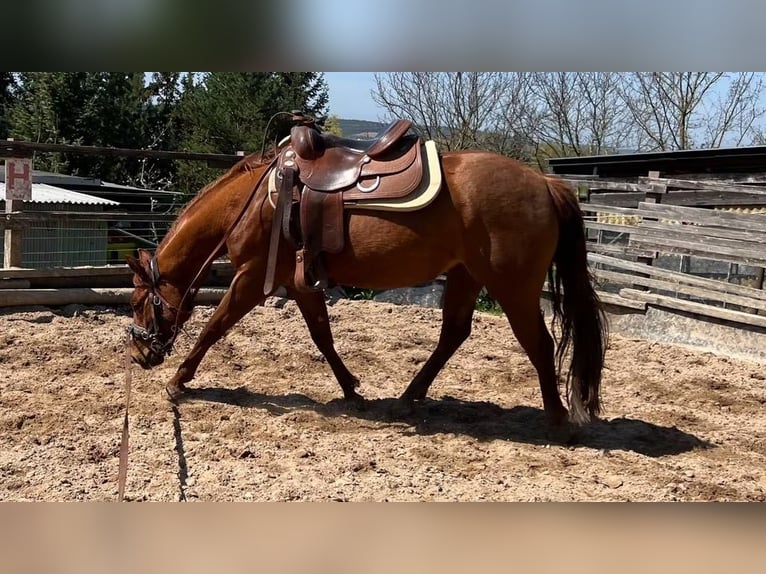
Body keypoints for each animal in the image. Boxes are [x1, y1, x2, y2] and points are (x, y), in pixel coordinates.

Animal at [125, 141, 607, 432]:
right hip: (466, 275)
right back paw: (408, 398)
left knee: (538, 343)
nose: (138, 354)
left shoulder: (252, 280)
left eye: (136, 302)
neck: (255, 201)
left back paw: (556, 420)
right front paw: (352, 391)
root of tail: (544, 183)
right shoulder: (299, 285)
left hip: (512, 287)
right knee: (453, 334)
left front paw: (179, 381)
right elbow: (323, 336)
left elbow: (214, 327)